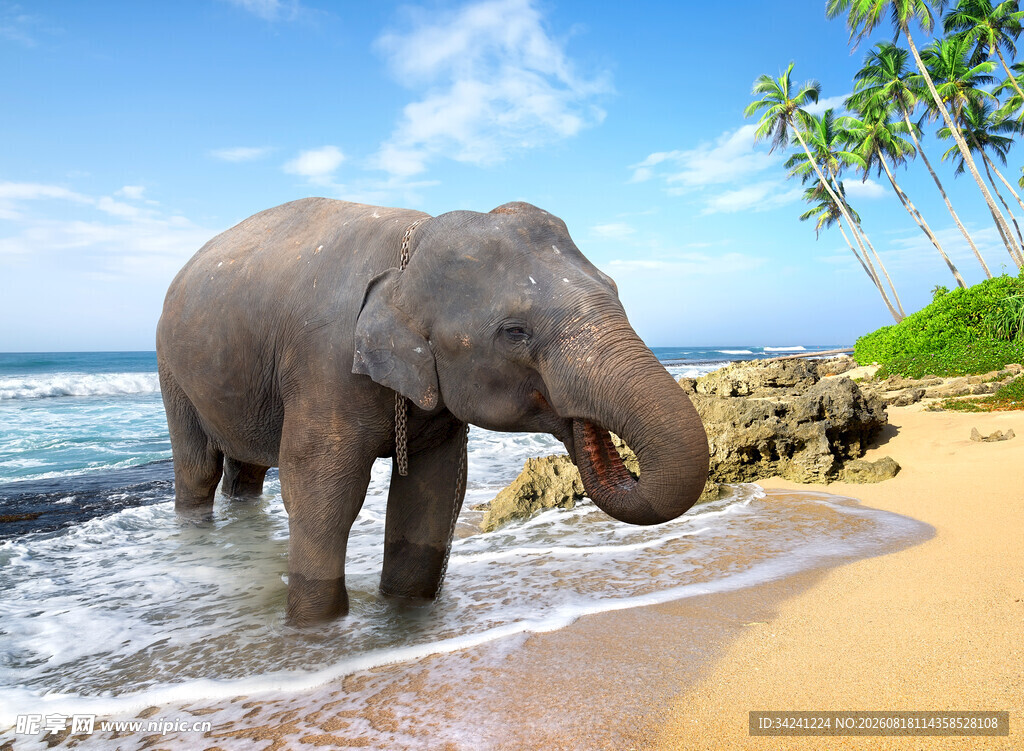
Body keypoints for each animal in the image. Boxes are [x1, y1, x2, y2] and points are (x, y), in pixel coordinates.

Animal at [156, 198, 709, 625]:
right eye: (515, 332)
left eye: (615, 290)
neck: (409, 252)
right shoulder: (324, 365)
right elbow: (320, 492)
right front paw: (315, 630)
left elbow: (433, 492)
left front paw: (403, 613)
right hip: (171, 369)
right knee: (198, 467)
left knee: (246, 470)